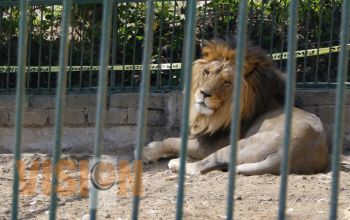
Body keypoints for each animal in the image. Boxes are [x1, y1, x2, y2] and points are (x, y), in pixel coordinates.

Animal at [142, 40, 328, 175]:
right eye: (207, 72)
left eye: (227, 82)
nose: (204, 93)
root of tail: (291, 152)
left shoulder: (208, 146)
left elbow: (173, 141)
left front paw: (147, 151)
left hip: (239, 144)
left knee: (203, 166)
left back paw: (177, 164)